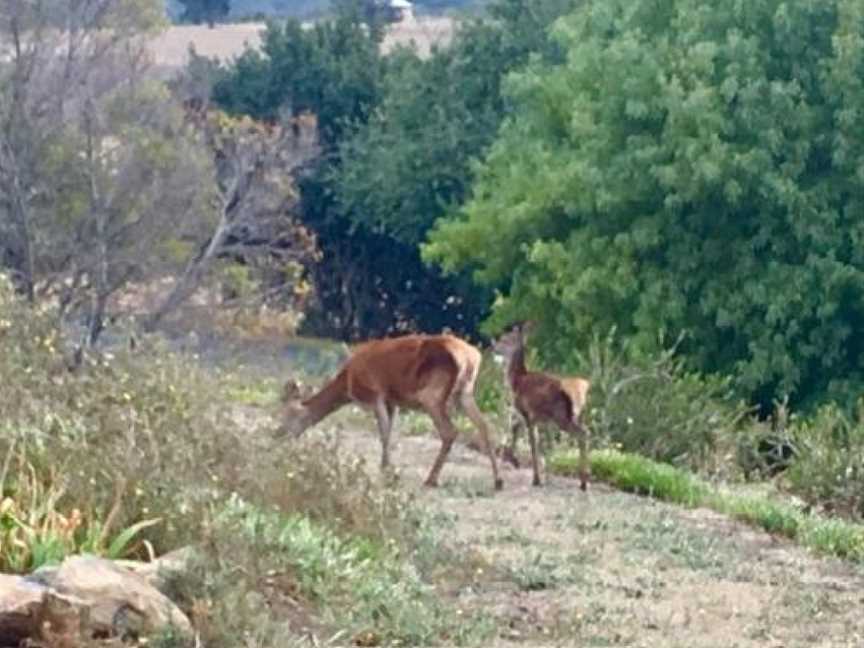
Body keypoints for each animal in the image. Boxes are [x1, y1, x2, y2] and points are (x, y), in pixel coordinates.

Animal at [280, 334, 502, 492]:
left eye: (289, 415)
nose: (278, 434)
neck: (348, 384)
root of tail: (471, 358)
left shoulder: (374, 393)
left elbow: (384, 434)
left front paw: (385, 470)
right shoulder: (392, 401)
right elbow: (390, 432)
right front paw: (387, 468)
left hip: (431, 394)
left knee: (450, 431)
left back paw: (431, 479)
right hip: (465, 393)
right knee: (484, 426)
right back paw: (498, 481)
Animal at [496, 322, 592, 488]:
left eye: (505, 339)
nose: (494, 346)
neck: (517, 381)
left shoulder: (526, 412)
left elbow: (532, 444)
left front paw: (536, 478)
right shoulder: (539, 419)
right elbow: (543, 445)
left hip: (561, 417)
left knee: (583, 433)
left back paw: (584, 483)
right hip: (574, 416)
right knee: (585, 431)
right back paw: (583, 481)